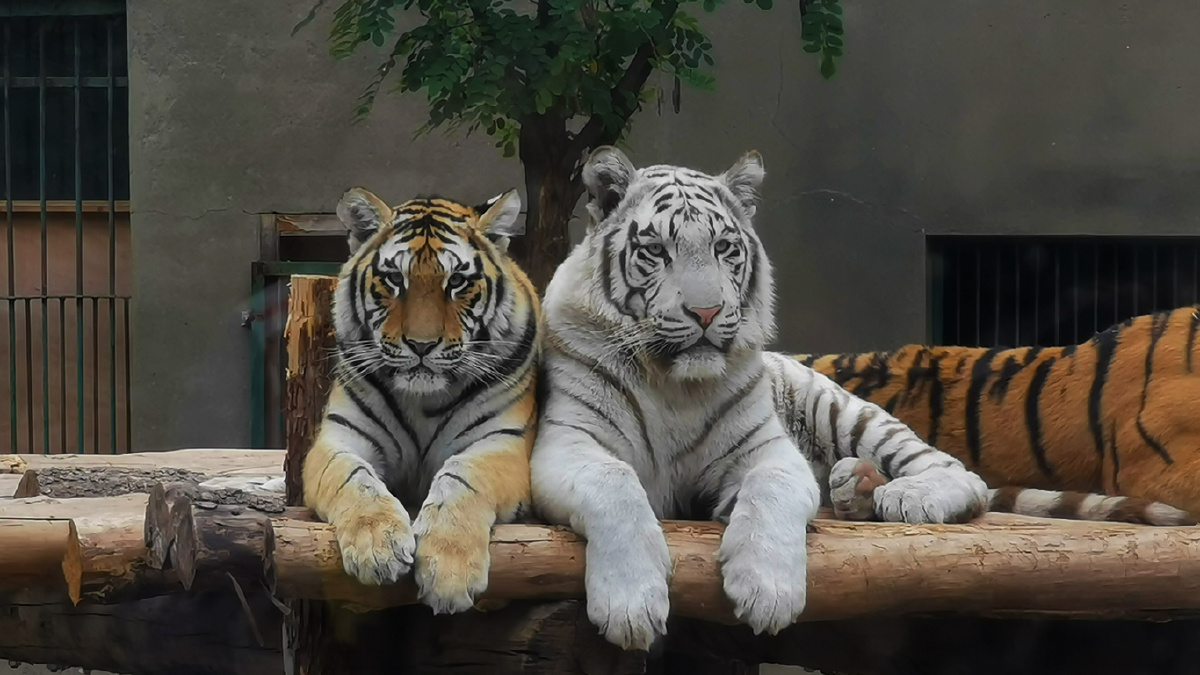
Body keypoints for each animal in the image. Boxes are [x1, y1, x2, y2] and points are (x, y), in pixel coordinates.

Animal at [302, 186, 540, 614]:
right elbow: (352, 478)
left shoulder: (504, 443)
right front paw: (377, 547)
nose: (422, 345)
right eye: (395, 279)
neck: (423, 401)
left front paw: (449, 571)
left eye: (457, 281)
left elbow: (463, 476)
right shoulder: (339, 438)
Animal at [529, 146, 991, 652]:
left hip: (842, 411)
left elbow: (771, 490)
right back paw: (858, 486)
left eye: (723, 248)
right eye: (656, 251)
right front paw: (630, 607)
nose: (706, 312)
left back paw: (907, 495)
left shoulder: (767, 451)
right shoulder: (567, 444)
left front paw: (768, 594)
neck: (674, 385)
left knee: (960, 472)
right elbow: (614, 483)